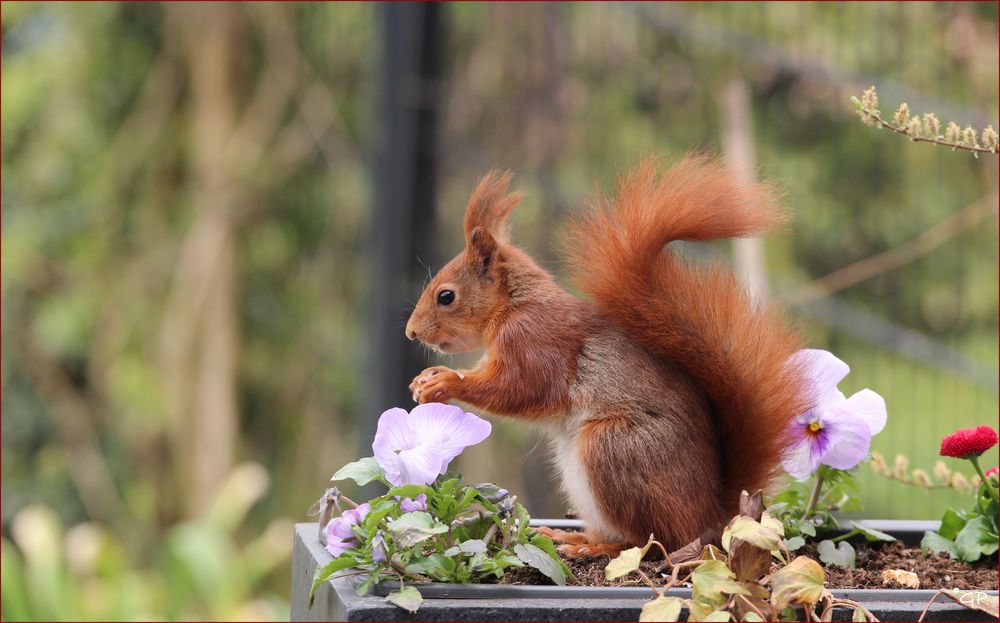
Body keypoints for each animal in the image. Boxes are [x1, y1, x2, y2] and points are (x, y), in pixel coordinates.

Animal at [402, 155, 808, 556]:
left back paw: (596, 549)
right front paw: (424, 378)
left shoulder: (535, 342)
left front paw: (445, 382)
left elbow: (522, 389)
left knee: (651, 540)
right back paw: (573, 538)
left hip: (611, 449)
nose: (411, 333)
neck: (514, 305)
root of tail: (711, 514)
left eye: (446, 296)